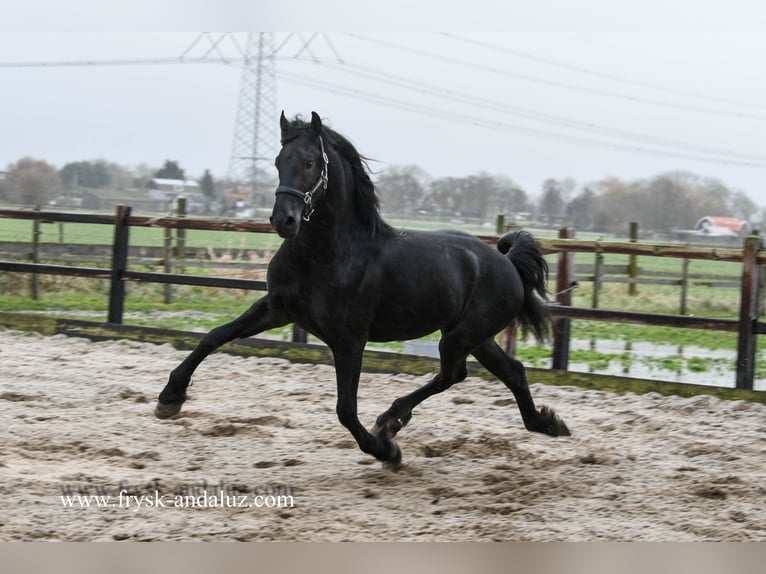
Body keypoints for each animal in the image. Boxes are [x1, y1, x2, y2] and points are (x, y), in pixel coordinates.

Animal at [156, 111, 568, 464]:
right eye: (277, 160)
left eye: (310, 162)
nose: (283, 220)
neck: (328, 255)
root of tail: (507, 262)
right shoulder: (276, 308)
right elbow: (214, 336)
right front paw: (169, 398)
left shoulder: (350, 339)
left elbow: (345, 409)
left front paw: (386, 451)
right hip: (475, 337)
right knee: (511, 371)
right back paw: (546, 423)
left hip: (461, 336)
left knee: (454, 374)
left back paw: (391, 420)